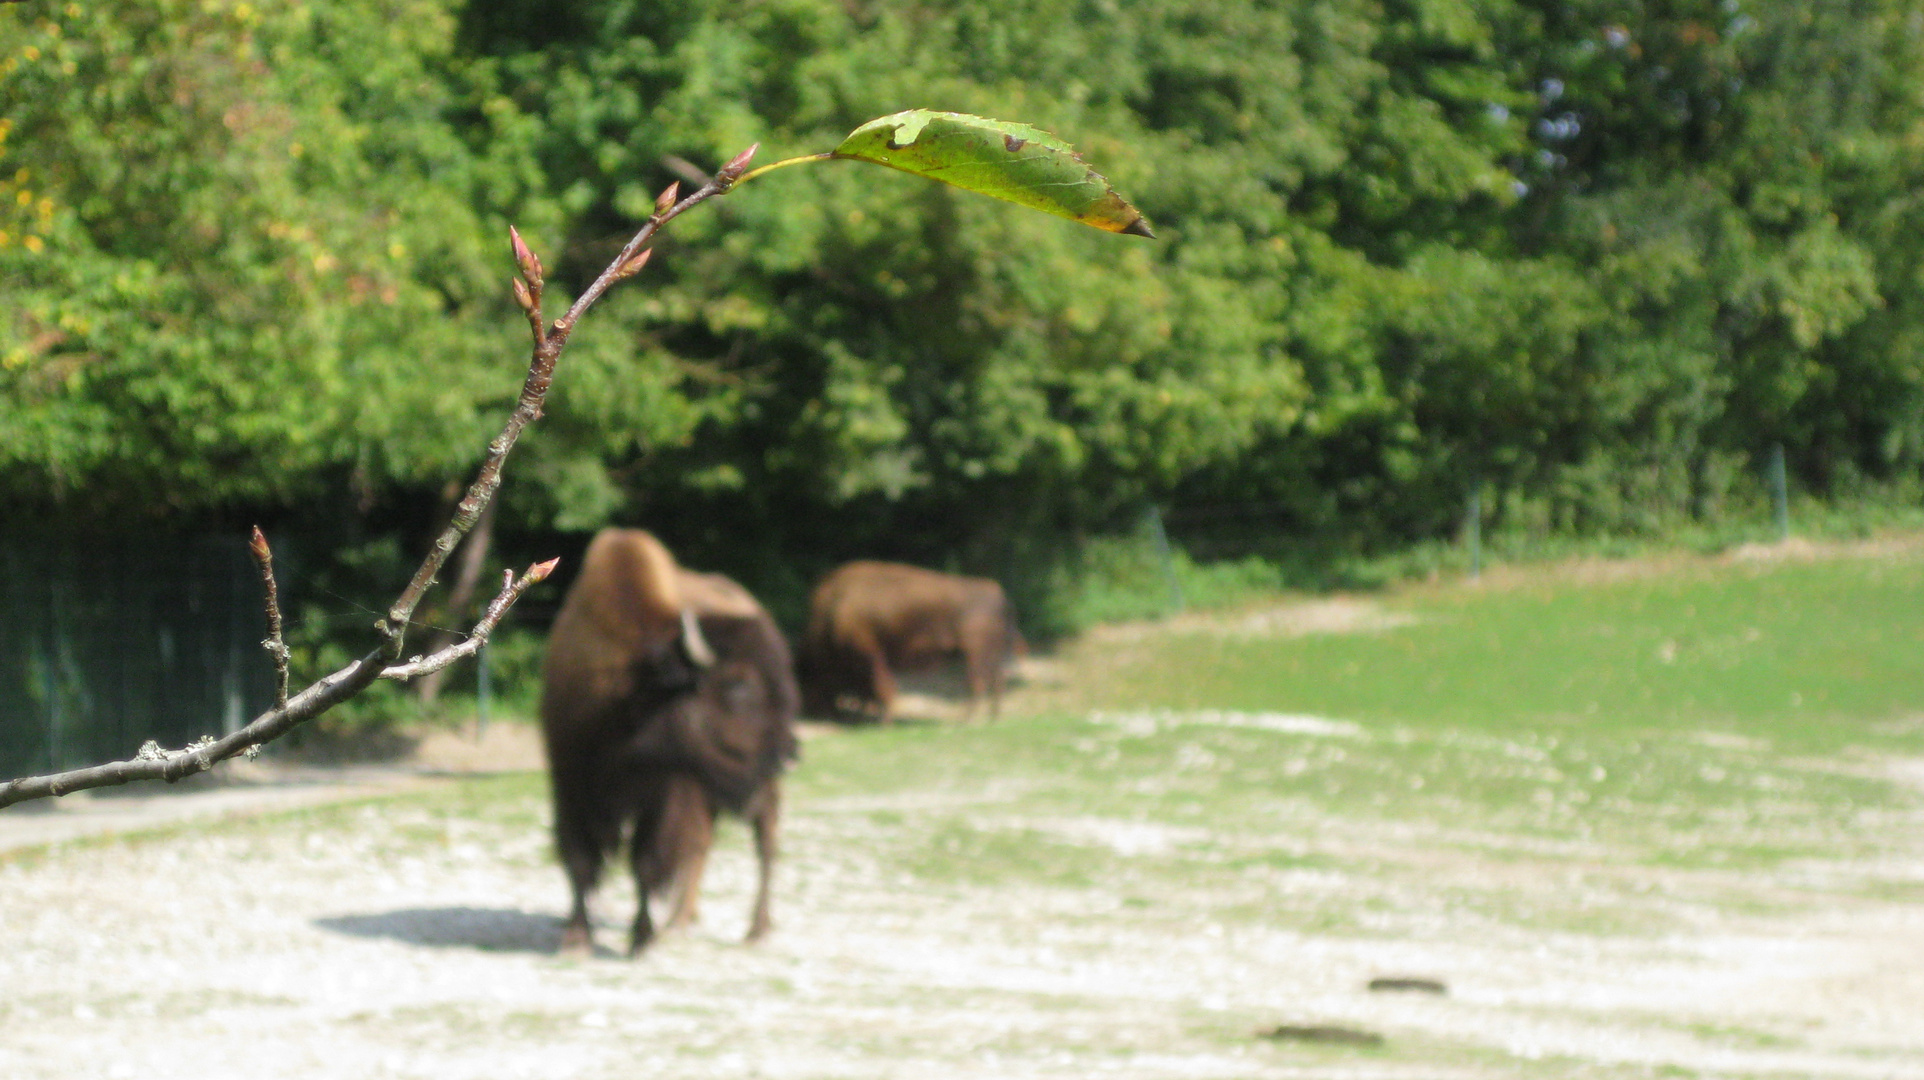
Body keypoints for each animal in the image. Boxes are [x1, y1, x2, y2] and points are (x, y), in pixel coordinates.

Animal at [534, 527, 796, 954]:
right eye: (737, 684)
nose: (789, 753)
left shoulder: (662, 797)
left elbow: (646, 861)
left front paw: (641, 938)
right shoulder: (570, 780)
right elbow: (579, 857)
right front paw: (576, 938)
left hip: (748, 792)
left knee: (765, 840)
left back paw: (755, 929)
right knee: (705, 844)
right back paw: (681, 920)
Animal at [796, 554, 1023, 723]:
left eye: (805, 676)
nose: (809, 712)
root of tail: (997, 592)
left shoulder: (870, 655)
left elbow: (882, 686)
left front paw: (884, 721)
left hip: (975, 654)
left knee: (977, 684)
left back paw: (965, 719)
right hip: (988, 655)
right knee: (996, 681)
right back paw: (992, 717)